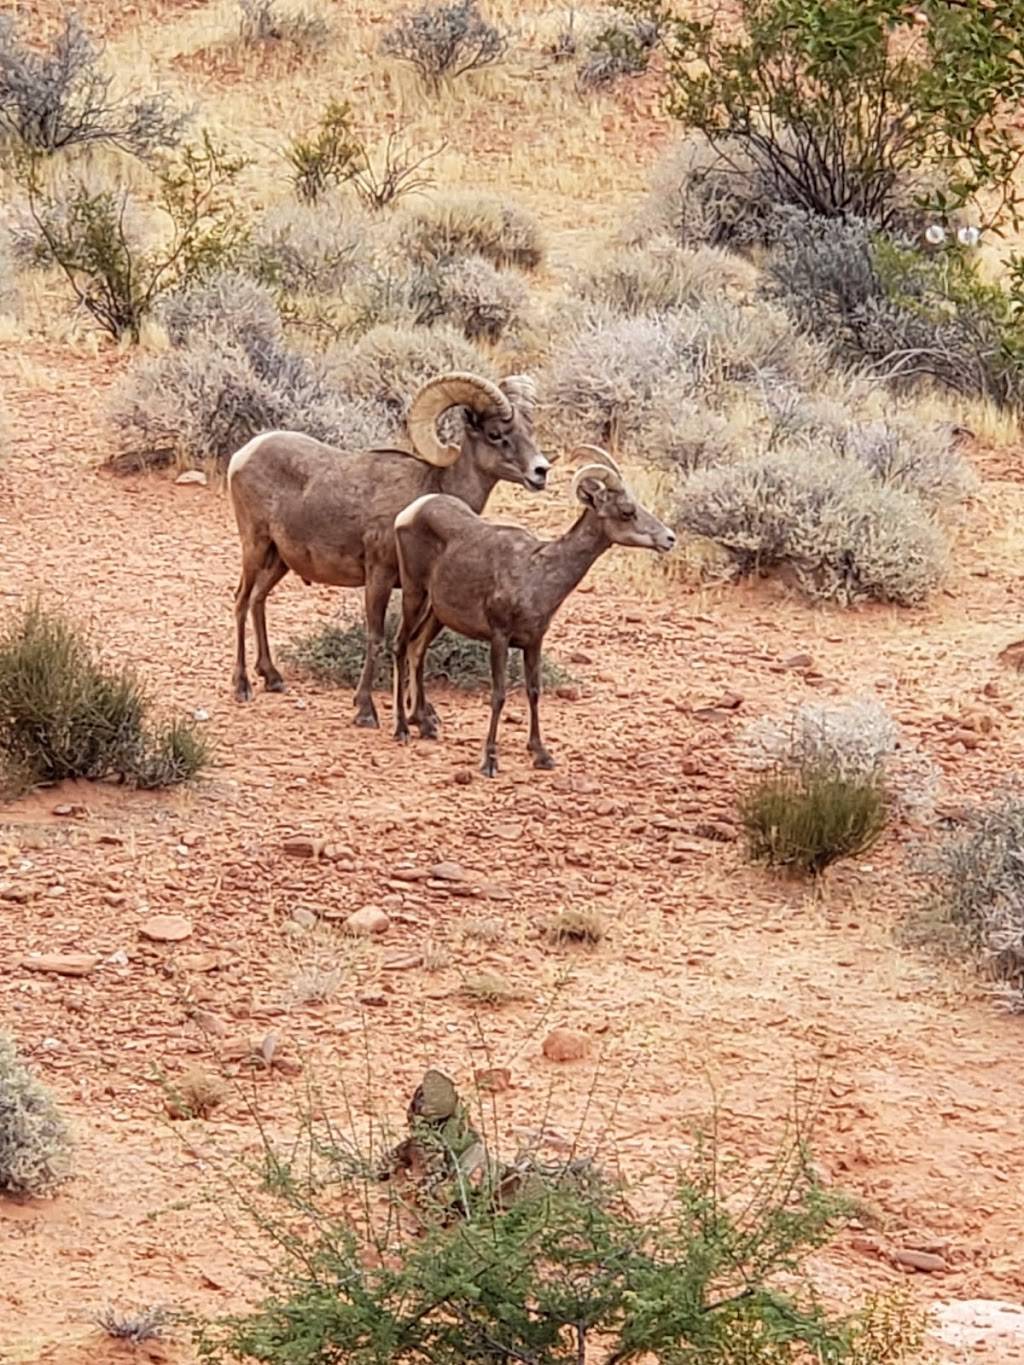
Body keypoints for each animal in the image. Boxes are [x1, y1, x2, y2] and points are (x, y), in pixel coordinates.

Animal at [228, 368, 548, 731]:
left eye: (528, 430)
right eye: (495, 434)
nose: (541, 471)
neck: (429, 493)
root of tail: (242, 456)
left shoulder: (421, 594)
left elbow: (415, 646)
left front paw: (423, 715)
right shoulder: (379, 577)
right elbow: (378, 638)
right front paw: (366, 710)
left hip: (279, 560)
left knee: (258, 600)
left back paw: (272, 677)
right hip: (254, 546)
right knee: (241, 601)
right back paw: (242, 686)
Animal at [390, 442, 674, 775]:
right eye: (627, 512)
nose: (669, 538)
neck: (537, 572)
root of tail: (412, 511)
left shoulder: (534, 641)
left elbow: (534, 692)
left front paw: (541, 754)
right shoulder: (499, 638)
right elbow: (499, 696)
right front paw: (489, 761)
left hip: (437, 614)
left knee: (417, 649)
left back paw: (424, 725)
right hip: (413, 594)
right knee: (399, 646)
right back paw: (401, 729)